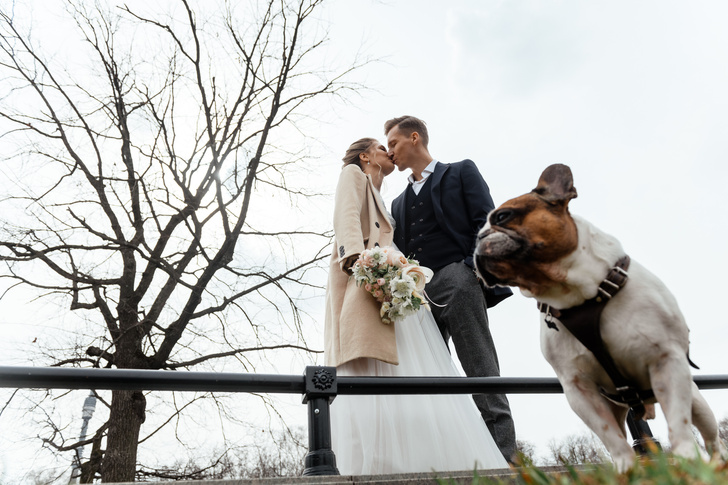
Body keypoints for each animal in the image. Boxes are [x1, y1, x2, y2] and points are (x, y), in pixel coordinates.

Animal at [474, 164, 724, 470]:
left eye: (503, 216)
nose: (478, 238)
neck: (577, 293)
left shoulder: (667, 361)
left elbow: (679, 422)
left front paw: (687, 459)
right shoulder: (579, 389)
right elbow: (610, 437)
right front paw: (626, 469)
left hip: (697, 400)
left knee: (710, 437)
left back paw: (715, 464)